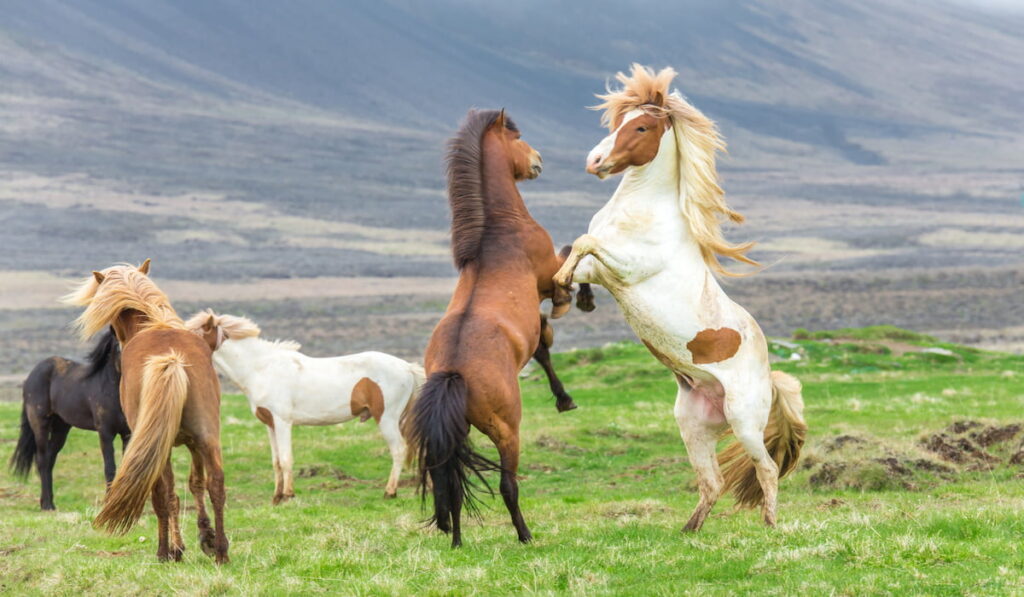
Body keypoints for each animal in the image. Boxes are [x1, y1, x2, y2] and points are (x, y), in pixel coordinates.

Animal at [8, 329, 129, 512]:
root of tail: (32, 375)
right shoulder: (105, 433)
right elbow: (110, 468)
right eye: (116, 345)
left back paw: (49, 503)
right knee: (42, 460)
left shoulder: (127, 433)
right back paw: (47, 505)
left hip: (61, 428)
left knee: (50, 459)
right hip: (40, 424)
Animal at [64, 262, 228, 565]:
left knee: (161, 494)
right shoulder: (192, 442)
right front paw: (206, 538)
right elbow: (196, 485)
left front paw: (180, 547)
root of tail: (171, 360)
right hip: (207, 437)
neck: (153, 322)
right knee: (216, 485)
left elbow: (172, 493)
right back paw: (222, 551)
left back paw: (163, 552)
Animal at [184, 313, 423, 503]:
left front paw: (288, 495)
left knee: (398, 450)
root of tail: (407, 367)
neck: (261, 368)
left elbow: (286, 458)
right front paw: (276, 497)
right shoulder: (270, 425)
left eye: (195, 333)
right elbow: (276, 462)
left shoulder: (283, 422)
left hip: (387, 419)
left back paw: (389, 492)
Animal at [401, 107, 577, 544]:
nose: (537, 160)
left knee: (450, 484)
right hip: (506, 429)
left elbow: (543, 343)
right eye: (517, 138)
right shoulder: (547, 274)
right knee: (507, 485)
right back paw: (525, 535)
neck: (497, 232)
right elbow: (570, 263)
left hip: (456, 434)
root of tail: (453, 373)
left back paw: (457, 541)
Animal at [552, 65, 806, 532]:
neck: (643, 211)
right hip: (694, 426)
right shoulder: (602, 271)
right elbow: (570, 250)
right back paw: (689, 530)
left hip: (744, 421)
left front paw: (564, 288)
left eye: (641, 127)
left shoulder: (627, 269)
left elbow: (583, 242)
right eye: (617, 121)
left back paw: (770, 524)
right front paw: (566, 293)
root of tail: (771, 376)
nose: (593, 162)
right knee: (712, 482)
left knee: (766, 468)